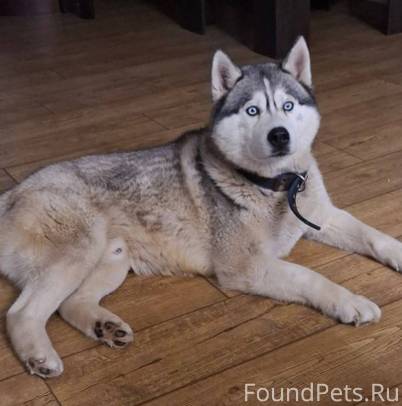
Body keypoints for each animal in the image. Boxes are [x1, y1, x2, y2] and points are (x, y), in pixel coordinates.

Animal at [0, 36, 400, 378]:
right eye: (252, 110)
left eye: (287, 105)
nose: (279, 135)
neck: (274, 186)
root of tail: (14, 190)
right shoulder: (246, 267)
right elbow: (310, 276)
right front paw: (350, 301)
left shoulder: (323, 217)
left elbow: (373, 235)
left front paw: (396, 252)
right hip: (80, 249)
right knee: (21, 312)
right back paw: (40, 357)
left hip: (112, 258)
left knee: (70, 304)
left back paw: (105, 327)